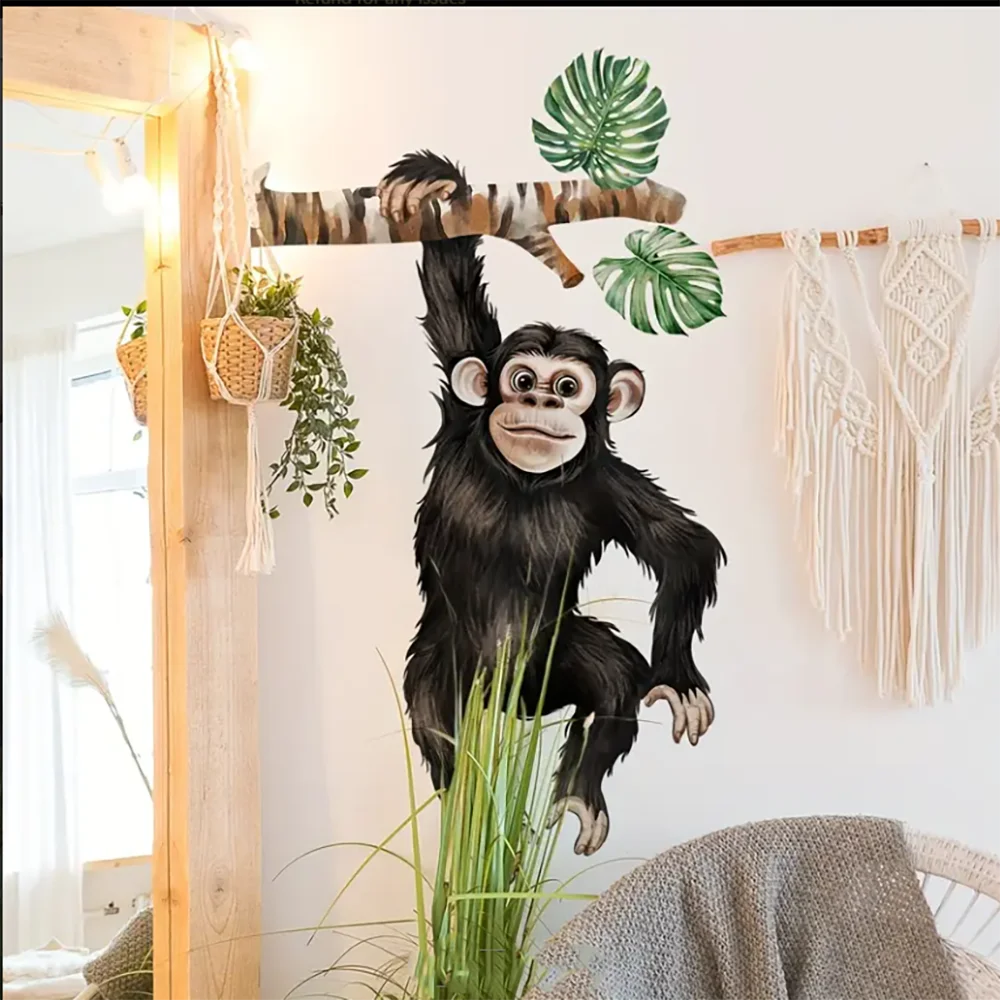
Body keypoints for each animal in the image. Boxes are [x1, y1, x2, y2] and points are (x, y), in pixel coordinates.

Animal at [379, 152, 726, 856]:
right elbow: (452, 296)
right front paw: (429, 179)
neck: (525, 484)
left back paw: (579, 792)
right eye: (520, 379)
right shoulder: (462, 421)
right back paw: (467, 807)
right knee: (436, 719)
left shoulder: (606, 484)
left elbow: (680, 546)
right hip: (449, 660)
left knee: (614, 678)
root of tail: (513, 707)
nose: (540, 401)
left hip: (552, 663)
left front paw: (678, 677)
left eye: (567, 386)